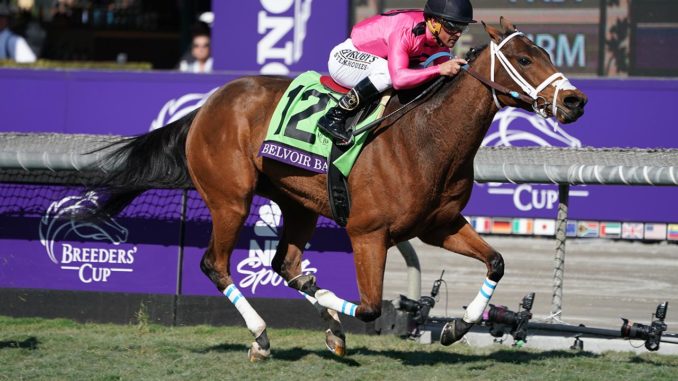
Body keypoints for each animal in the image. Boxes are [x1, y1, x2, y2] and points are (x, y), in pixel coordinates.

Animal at [93, 17, 588, 360]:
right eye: (524, 59)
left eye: (546, 53)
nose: (575, 100)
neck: (425, 138)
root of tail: (208, 104)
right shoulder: (367, 234)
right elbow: (369, 307)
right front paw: (334, 303)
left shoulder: (439, 225)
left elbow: (496, 262)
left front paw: (456, 327)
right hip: (229, 199)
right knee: (215, 264)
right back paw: (263, 336)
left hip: (298, 204)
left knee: (285, 262)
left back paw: (324, 323)